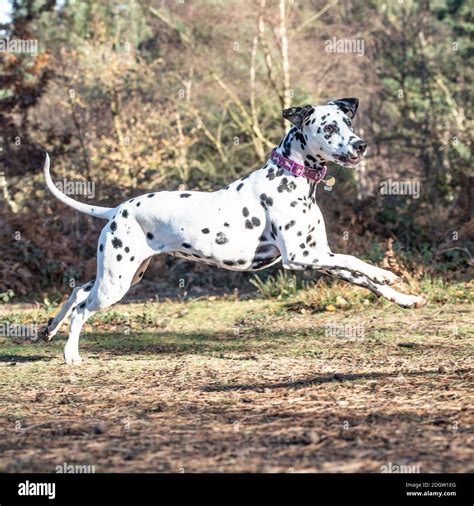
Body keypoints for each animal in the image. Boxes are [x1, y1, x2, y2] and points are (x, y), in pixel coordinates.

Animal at [40, 97, 426, 364]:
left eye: (347, 121)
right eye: (329, 128)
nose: (360, 144)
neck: (292, 178)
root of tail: (117, 209)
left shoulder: (321, 256)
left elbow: (364, 279)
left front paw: (406, 298)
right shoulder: (302, 256)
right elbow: (355, 260)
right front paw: (387, 273)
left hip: (122, 275)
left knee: (77, 290)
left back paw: (49, 329)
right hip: (115, 284)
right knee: (81, 308)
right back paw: (71, 355)